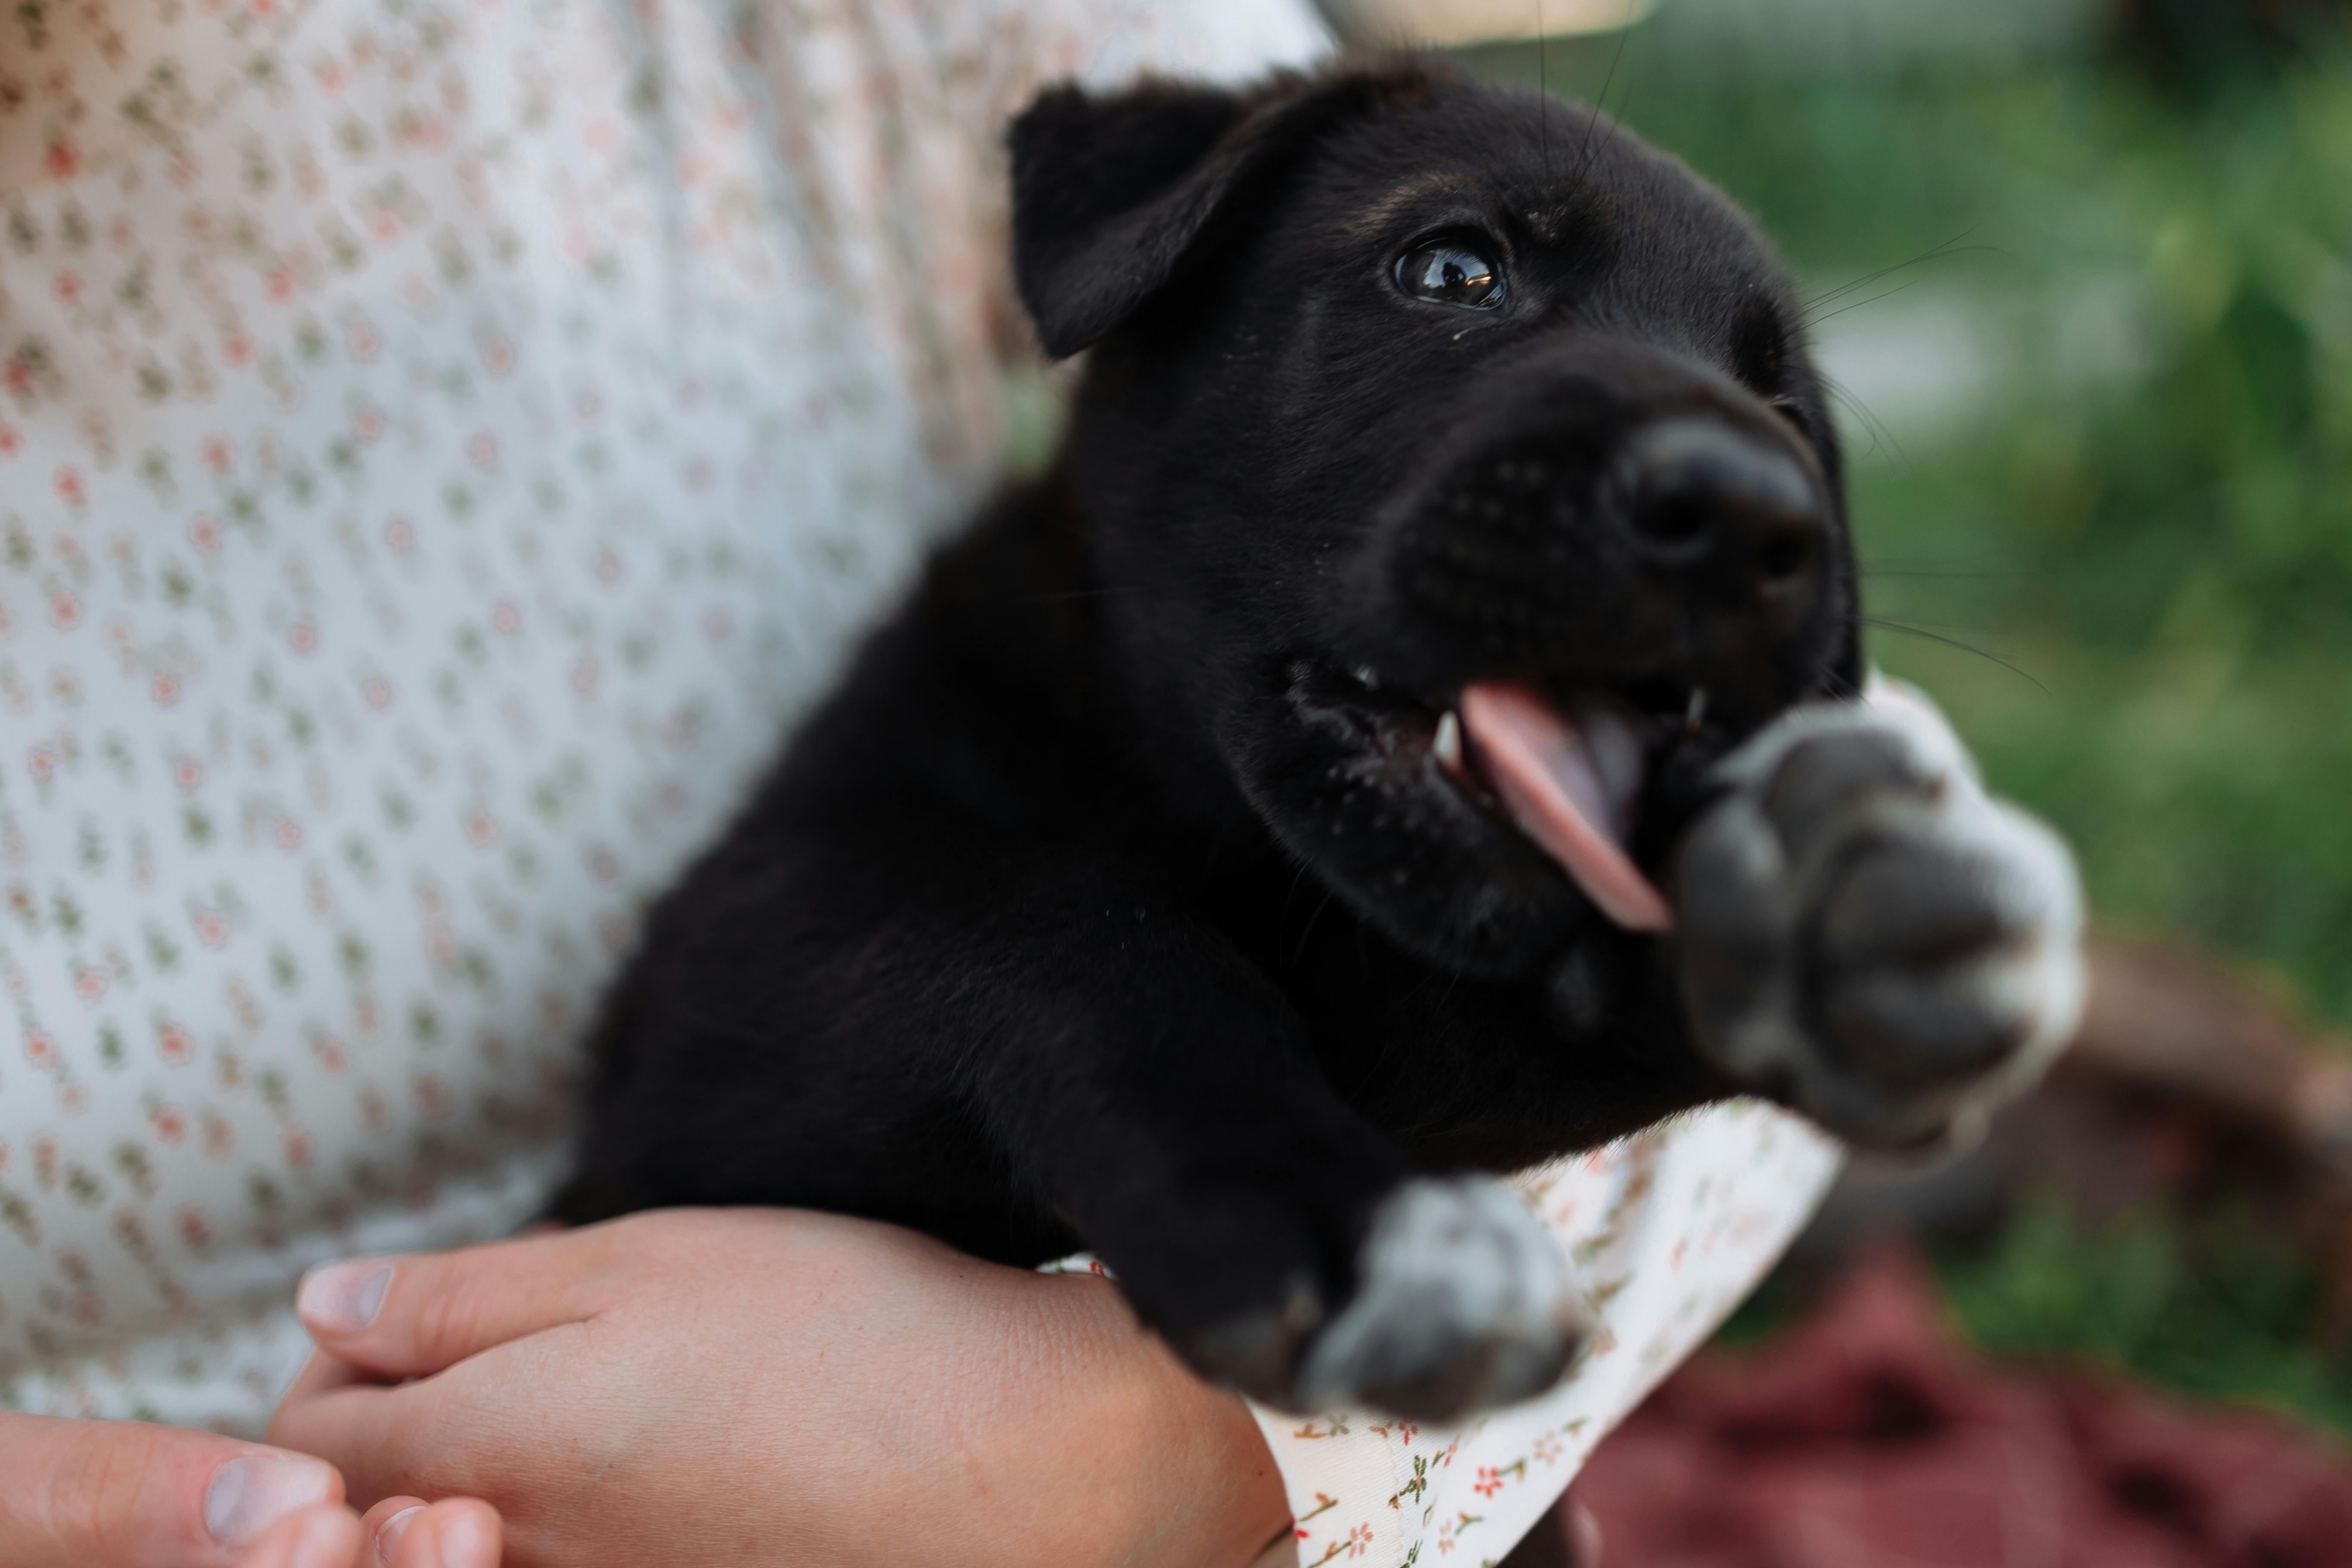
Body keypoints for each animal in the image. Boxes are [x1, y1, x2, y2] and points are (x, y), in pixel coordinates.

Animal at [560, 64, 2089, 1420]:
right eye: (1454, 270)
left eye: (1789, 415)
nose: (1750, 515)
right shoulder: (707, 1021)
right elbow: (1049, 920)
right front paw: (1327, 1209)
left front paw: (1790, 895)